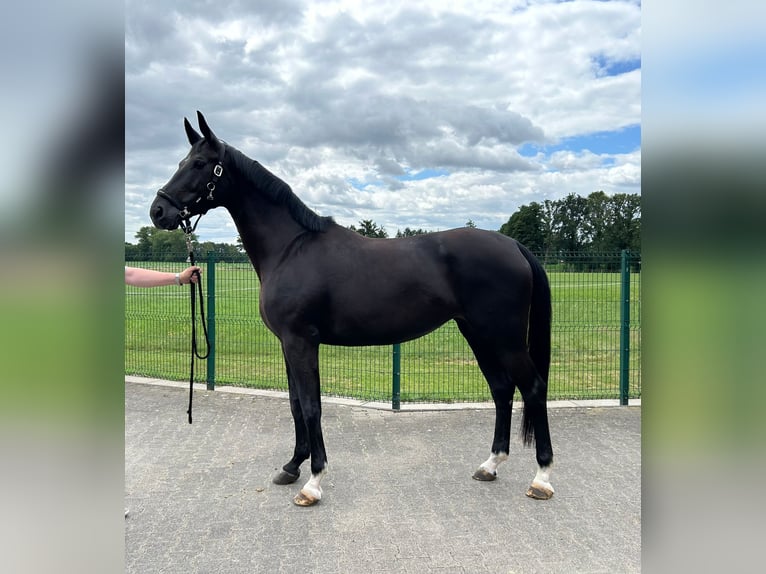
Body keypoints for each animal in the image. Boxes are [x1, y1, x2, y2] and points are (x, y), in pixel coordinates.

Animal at [150, 111, 555, 507]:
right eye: (182, 161)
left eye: (199, 163)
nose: (158, 210)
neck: (291, 248)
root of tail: (513, 245)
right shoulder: (287, 344)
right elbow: (295, 404)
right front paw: (291, 466)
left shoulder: (300, 341)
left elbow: (311, 406)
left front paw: (313, 481)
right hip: (477, 333)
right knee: (501, 389)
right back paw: (490, 464)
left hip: (504, 338)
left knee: (533, 387)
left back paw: (542, 477)